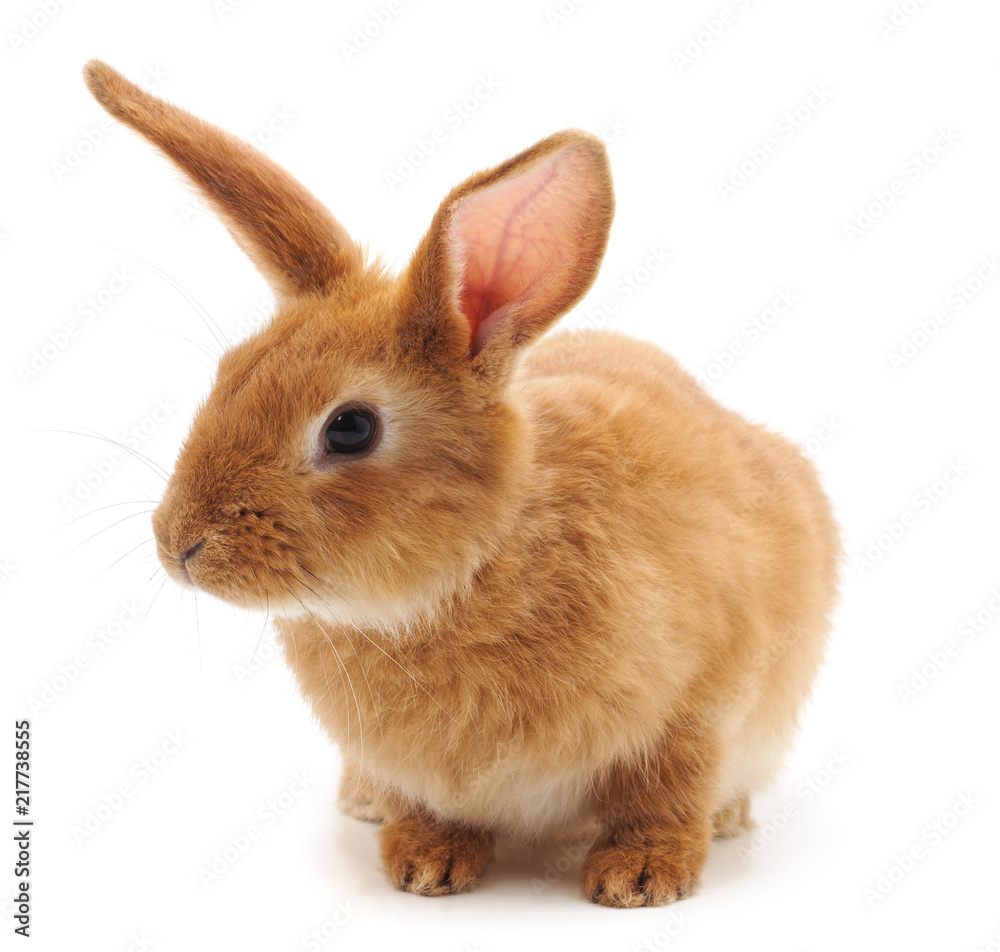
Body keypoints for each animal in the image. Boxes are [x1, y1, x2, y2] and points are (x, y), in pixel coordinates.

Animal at [83, 59, 840, 908]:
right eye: (227, 375)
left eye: (350, 428)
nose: (178, 544)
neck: (472, 572)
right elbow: (427, 806)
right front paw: (425, 864)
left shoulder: (697, 705)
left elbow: (664, 793)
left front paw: (641, 877)